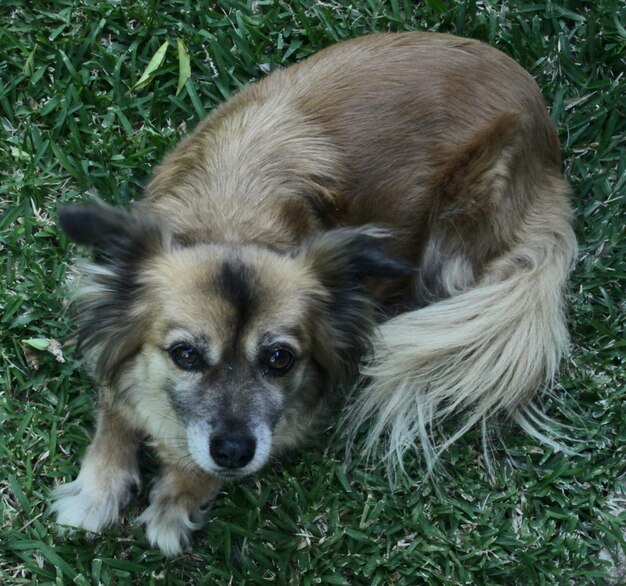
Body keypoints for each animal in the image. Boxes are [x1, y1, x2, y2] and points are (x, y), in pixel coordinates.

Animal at [53, 32, 576, 552]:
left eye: (280, 359)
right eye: (185, 355)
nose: (233, 452)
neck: (232, 220)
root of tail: (547, 143)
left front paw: (176, 499)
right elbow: (114, 410)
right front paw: (97, 490)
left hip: (455, 234)